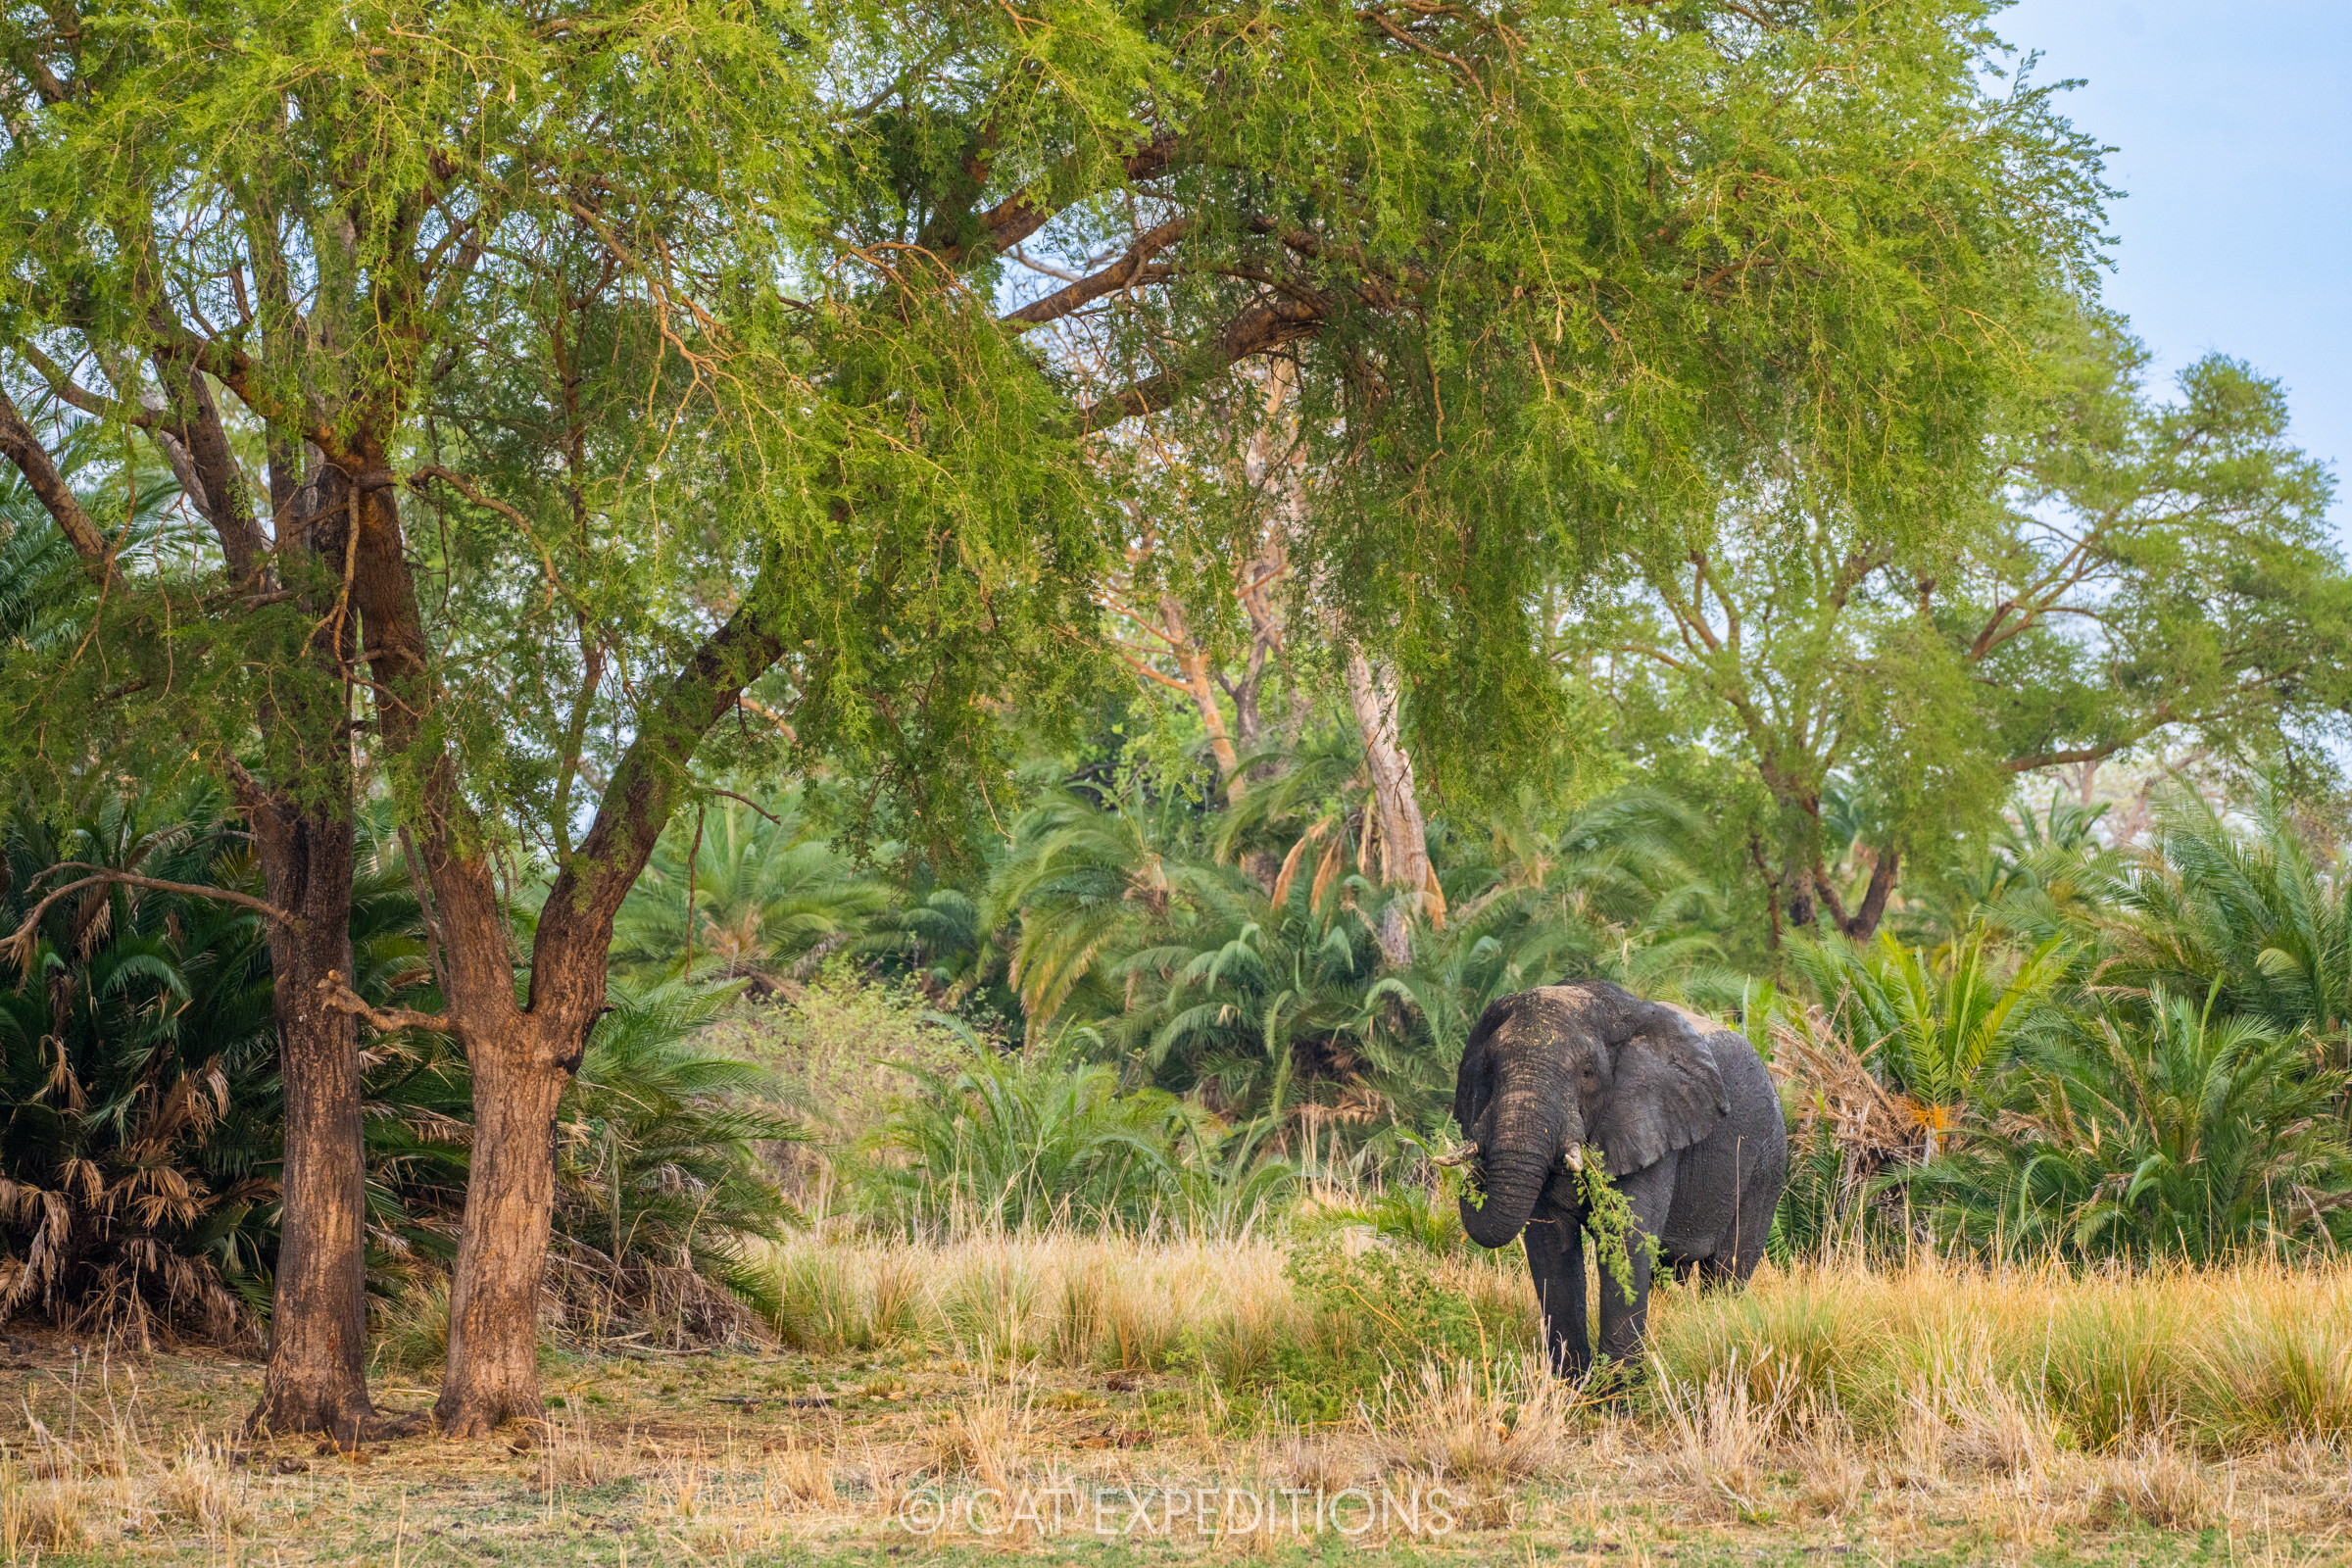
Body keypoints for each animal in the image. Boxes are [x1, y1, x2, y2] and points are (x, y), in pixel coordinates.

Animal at [1453, 980, 1787, 1376]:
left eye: (1586, 1072)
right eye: (1489, 1069)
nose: (1476, 1174)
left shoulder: (1650, 1122)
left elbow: (1626, 1238)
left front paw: (1619, 1390)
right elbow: (1551, 1244)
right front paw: (1572, 1385)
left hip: (1766, 1161)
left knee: (1727, 1268)